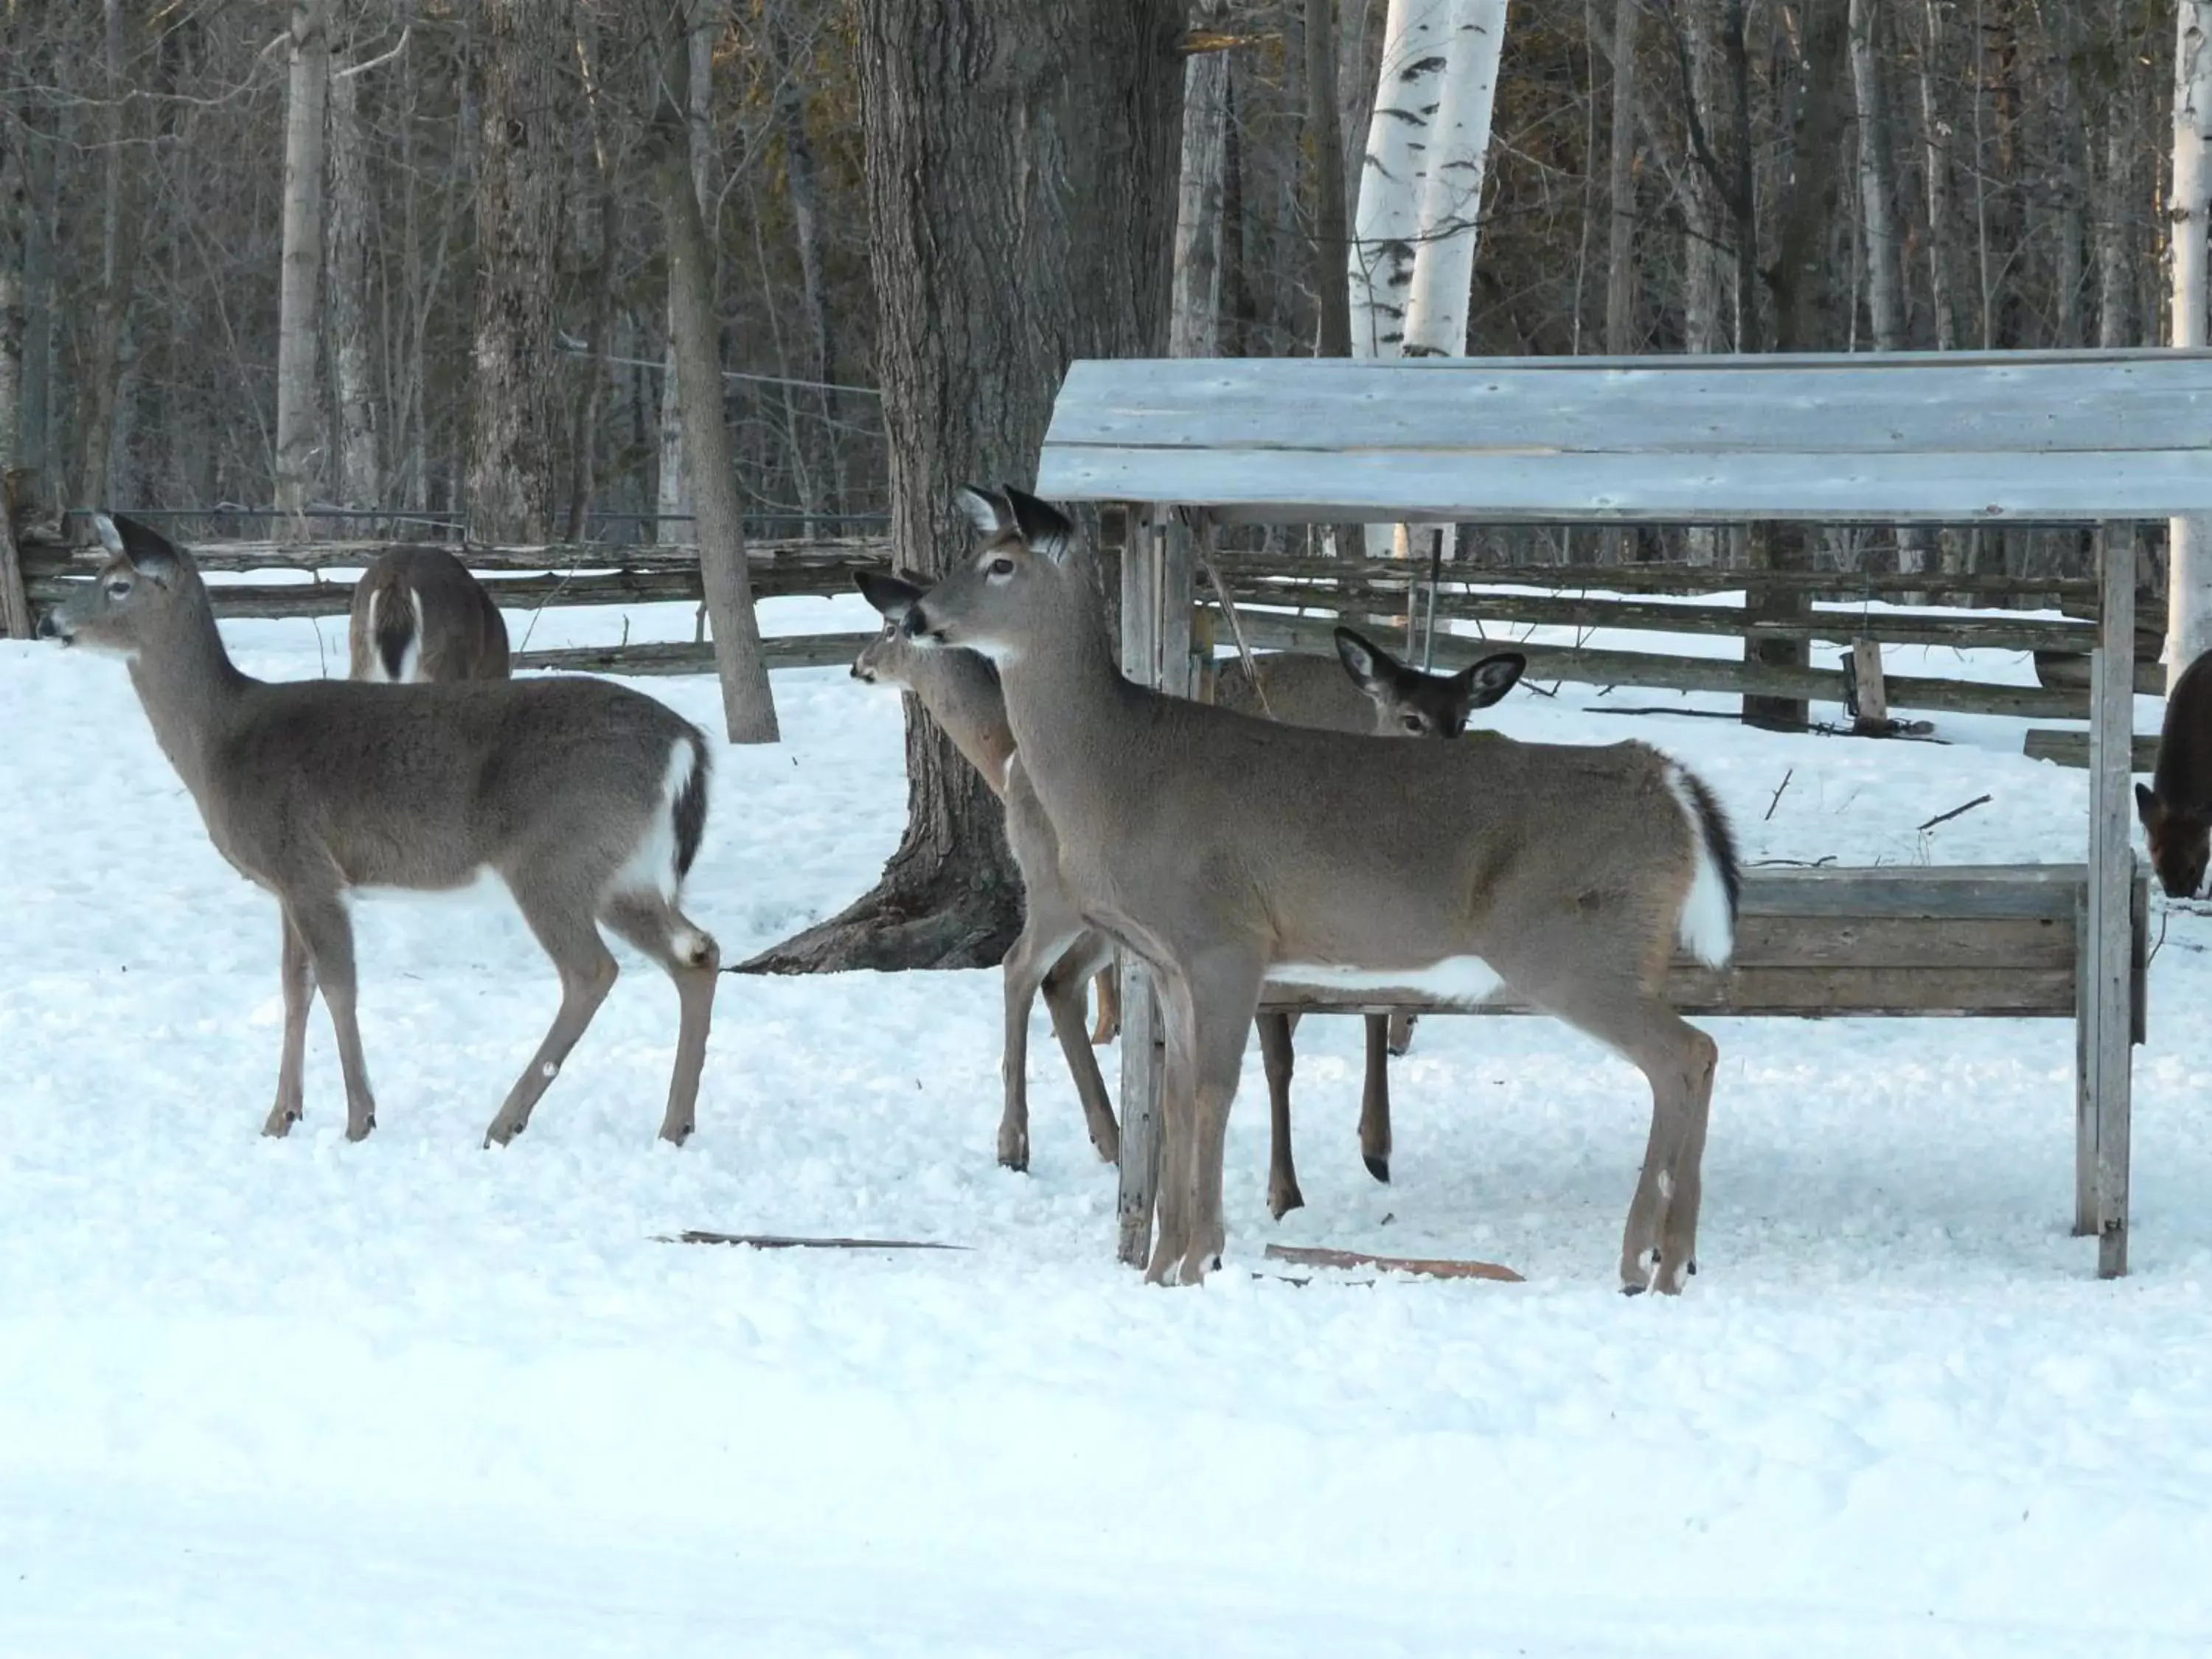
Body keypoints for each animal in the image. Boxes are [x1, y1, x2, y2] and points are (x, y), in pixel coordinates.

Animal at [845, 571, 1522, 1212]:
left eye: (887, 627)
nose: (859, 665)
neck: (1004, 752)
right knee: (1040, 973)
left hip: (1069, 894)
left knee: (1033, 972)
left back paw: (1062, 1140)